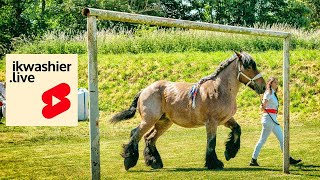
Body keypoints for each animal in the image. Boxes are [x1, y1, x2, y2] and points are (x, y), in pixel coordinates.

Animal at [111, 51, 266, 170]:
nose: (264, 87)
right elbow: (211, 142)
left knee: (149, 138)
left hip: (163, 122)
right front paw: (214, 163)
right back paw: (129, 161)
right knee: (135, 133)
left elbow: (237, 129)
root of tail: (144, 89)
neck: (219, 89)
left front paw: (230, 153)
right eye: (249, 66)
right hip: (149, 120)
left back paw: (154, 162)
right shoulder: (212, 122)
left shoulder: (225, 120)